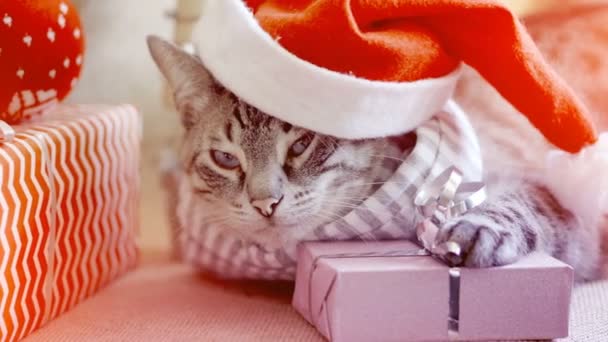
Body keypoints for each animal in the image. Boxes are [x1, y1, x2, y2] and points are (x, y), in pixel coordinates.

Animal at [147, 35, 604, 280]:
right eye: (225, 159)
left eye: (301, 144)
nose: (265, 203)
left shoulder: (566, 214)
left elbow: (518, 203)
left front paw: (475, 229)